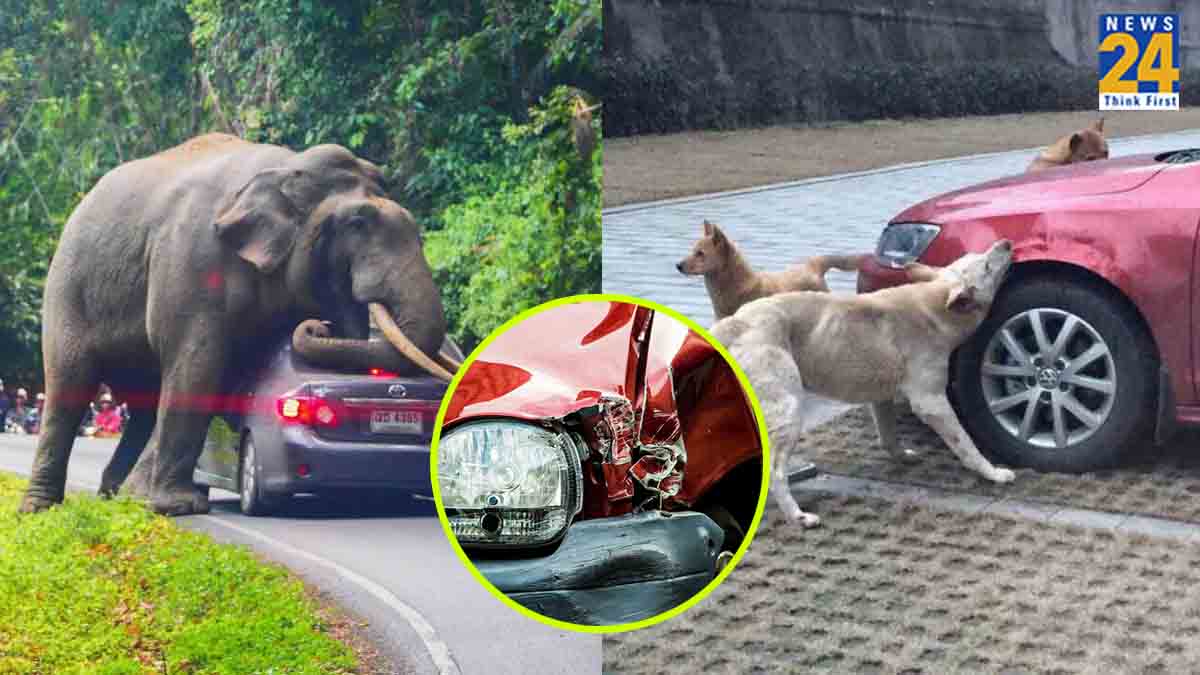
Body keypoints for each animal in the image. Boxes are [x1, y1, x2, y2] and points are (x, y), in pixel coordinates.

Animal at [19, 133, 458, 516]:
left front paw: (156, 502)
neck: (286, 168)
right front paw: (177, 507)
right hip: (68, 289)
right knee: (70, 382)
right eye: (357, 223)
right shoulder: (192, 260)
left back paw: (118, 496)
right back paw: (41, 509)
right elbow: (199, 365)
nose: (319, 325)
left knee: (144, 400)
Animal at [715, 240, 1017, 526]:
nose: (1006, 243)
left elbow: (888, 436)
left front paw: (901, 455)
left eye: (978, 255)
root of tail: (734, 322)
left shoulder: (881, 397)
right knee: (776, 472)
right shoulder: (931, 401)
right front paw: (992, 473)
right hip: (788, 410)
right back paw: (797, 516)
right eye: (986, 266)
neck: (933, 304)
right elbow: (966, 444)